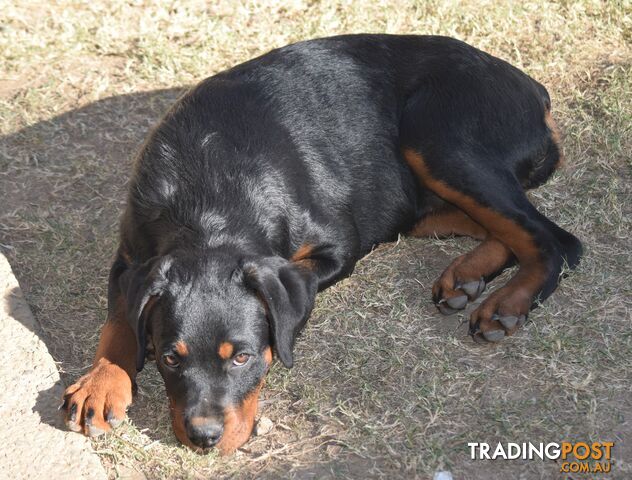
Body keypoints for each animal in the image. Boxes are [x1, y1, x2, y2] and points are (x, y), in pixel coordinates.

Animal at [61, 34, 580, 454]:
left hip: (438, 137)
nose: (203, 438)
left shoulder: (335, 248)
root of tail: (535, 91)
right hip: (420, 201)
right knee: (504, 231)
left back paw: (506, 304)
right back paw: (467, 277)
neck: (208, 204)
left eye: (243, 356)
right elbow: (119, 321)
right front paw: (101, 383)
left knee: (557, 240)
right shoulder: (131, 258)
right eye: (171, 358)